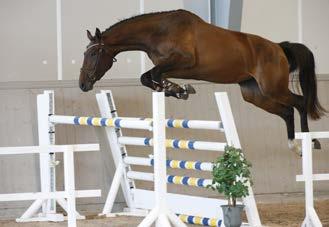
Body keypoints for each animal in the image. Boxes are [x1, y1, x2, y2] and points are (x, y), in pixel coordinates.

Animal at [79, 8, 326, 154]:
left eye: (93, 53)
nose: (83, 84)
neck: (159, 31)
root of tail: (278, 47)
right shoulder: (168, 66)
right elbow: (148, 77)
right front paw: (175, 90)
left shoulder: (184, 61)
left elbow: (151, 75)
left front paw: (179, 89)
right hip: (255, 94)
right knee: (286, 111)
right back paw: (294, 145)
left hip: (272, 88)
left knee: (300, 103)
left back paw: (310, 142)